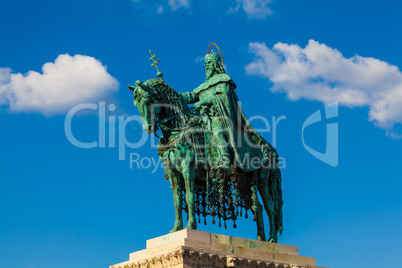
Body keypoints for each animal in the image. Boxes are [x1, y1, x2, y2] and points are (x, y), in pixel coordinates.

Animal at [129, 78, 282, 243]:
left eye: (147, 100)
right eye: (136, 104)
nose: (148, 127)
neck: (177, 130)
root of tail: (269, 147)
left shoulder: (188, 169)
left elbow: (189, 197)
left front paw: (190, 225)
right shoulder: (173, 174)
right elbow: (177, 202)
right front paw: (176, 228)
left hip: (262, 180)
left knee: (270, 206)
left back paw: (272, 239)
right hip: (244, 182)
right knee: (257, 207)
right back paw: (260, 240)